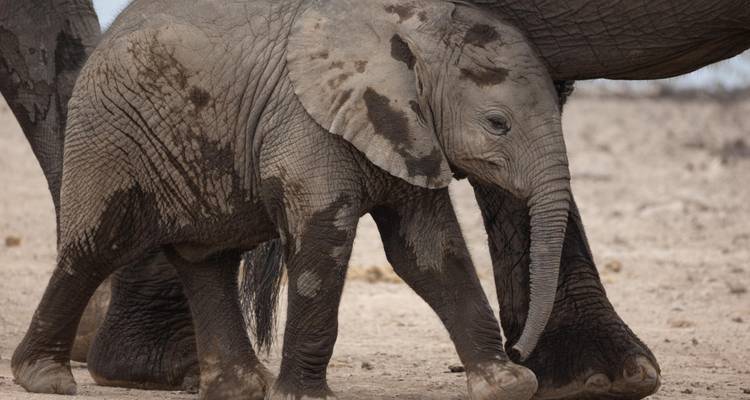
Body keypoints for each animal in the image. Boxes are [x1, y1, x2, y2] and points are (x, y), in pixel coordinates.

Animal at [2, 0, 748, 399]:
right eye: (497, 125)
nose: (522, 350)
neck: (407, 33)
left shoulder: (408, 129)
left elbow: (431, 253)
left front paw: (506, 385)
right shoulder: (307, 123)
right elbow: (326, 239)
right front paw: (305, 397)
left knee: (208, 258)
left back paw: (233, 385)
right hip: (114, 136)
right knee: (95, 244)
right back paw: (51, 377)